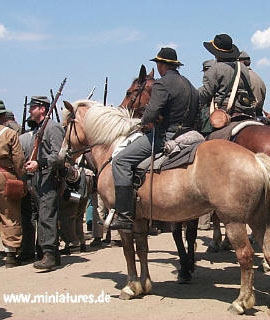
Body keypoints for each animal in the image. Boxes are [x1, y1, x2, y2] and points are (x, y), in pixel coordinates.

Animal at [60, 78, 270, 316]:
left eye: (66, 125)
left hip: (235, 221)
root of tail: (256, 160)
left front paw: (131, 286)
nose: (62, 156)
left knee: (245, 256)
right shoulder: (140, 218)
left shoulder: (122, 217)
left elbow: (128, 251)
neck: (114, 149)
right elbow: (142, 248)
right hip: (258, 221)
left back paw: (241, 301)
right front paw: (144, 284)